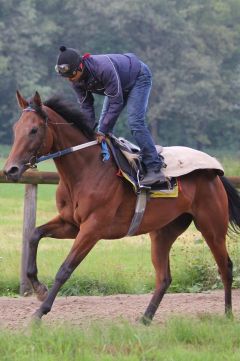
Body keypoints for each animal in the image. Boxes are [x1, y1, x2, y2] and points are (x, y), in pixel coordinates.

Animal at [3, 91, 240, 322]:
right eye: (15, 129)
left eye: (34, 130)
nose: (10, 170)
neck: (86, 169)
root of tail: (216, 173)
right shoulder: (71, 224)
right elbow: (34, 234)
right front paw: (38, 288)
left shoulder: (92, 229)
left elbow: (65, 268)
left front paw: (40, 312)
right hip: (163, 232)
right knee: (164, 277)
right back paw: (145, 318)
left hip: (211, 226)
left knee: (225, 267)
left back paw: (228, 314)